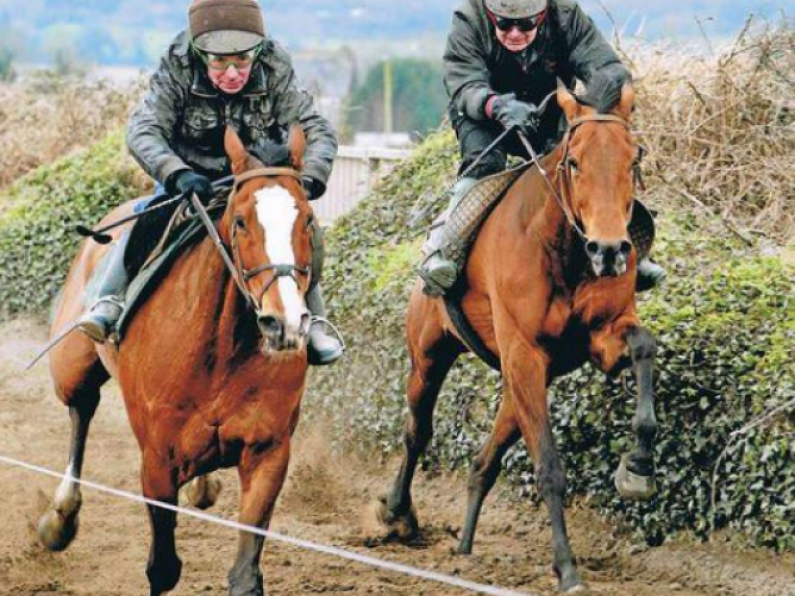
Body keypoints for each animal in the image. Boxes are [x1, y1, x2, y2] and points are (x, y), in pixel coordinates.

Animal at [38, 125, 318, 596]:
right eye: (240, 221)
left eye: (309, 221)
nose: (284, 322)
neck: (221, 349)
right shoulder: (157, 461)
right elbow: (163, 568)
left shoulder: (268, 450)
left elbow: (245, 575)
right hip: (72, 367)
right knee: (81, 411)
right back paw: (60, 518)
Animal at [378, 81, 660, 592]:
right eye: (574, 162)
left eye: (633, 160)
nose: (610, 250)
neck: (564, 251)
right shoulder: (524, 354)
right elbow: (548, 465)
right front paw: (566, 567)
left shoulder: (603, 337)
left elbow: (644, 347)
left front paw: (638, 468)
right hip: (429, 354)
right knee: (417, 430)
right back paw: (397, 514)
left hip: (516, 387)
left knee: (483, 461)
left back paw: (465, 547)